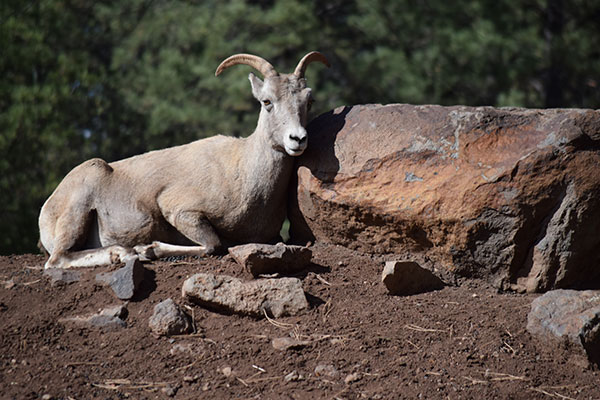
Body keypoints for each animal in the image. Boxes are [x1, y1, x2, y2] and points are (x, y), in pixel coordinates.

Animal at [38, 50, 328, 268]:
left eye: (309, 101)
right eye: (267, 101)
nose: (297, 139)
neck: (243, 175)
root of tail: (47, 209)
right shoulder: (180, 211)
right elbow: (213, 245)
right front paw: (148, 250)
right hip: (81, 202)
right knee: (57, 260)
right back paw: (123, 253)